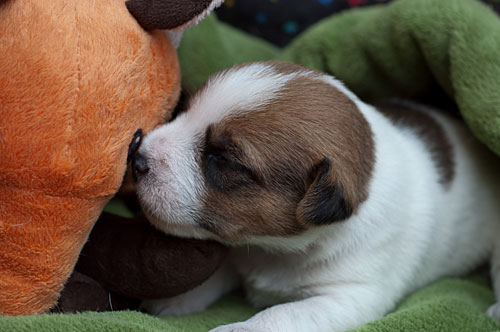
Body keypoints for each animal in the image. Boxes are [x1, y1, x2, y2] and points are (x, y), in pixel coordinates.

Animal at [133, 61, 500, 330]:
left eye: (223, 160)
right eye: (183, 111)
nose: (136, 157)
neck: (277, 250)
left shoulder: (348, 297)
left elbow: (277, 315)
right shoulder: (240, 253)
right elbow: (213, 276)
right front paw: (173, 299)